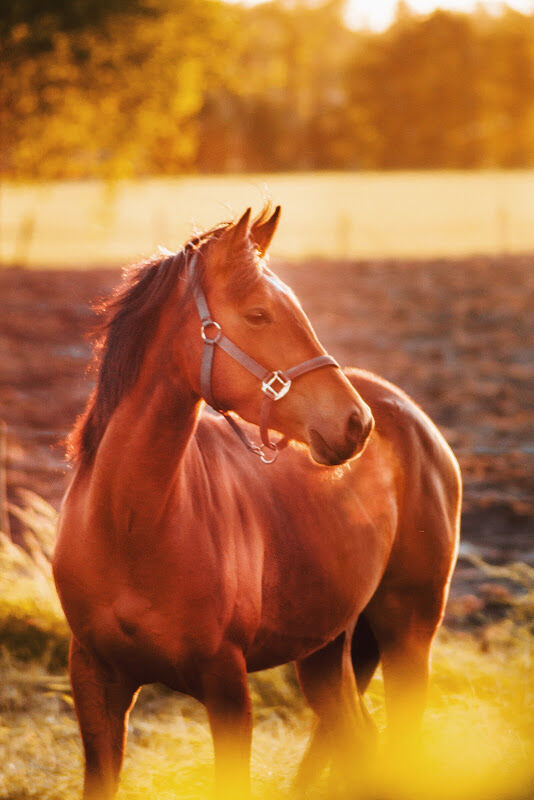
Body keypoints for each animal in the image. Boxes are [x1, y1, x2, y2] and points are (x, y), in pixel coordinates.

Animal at [55, 208, 464, 800]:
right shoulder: (94, 681)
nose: (355, 424)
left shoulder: (226, 688)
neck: (129, 524)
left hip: (408, 628)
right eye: (257, 315)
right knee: (353, 736)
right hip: (326, 651)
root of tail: (407, 412)